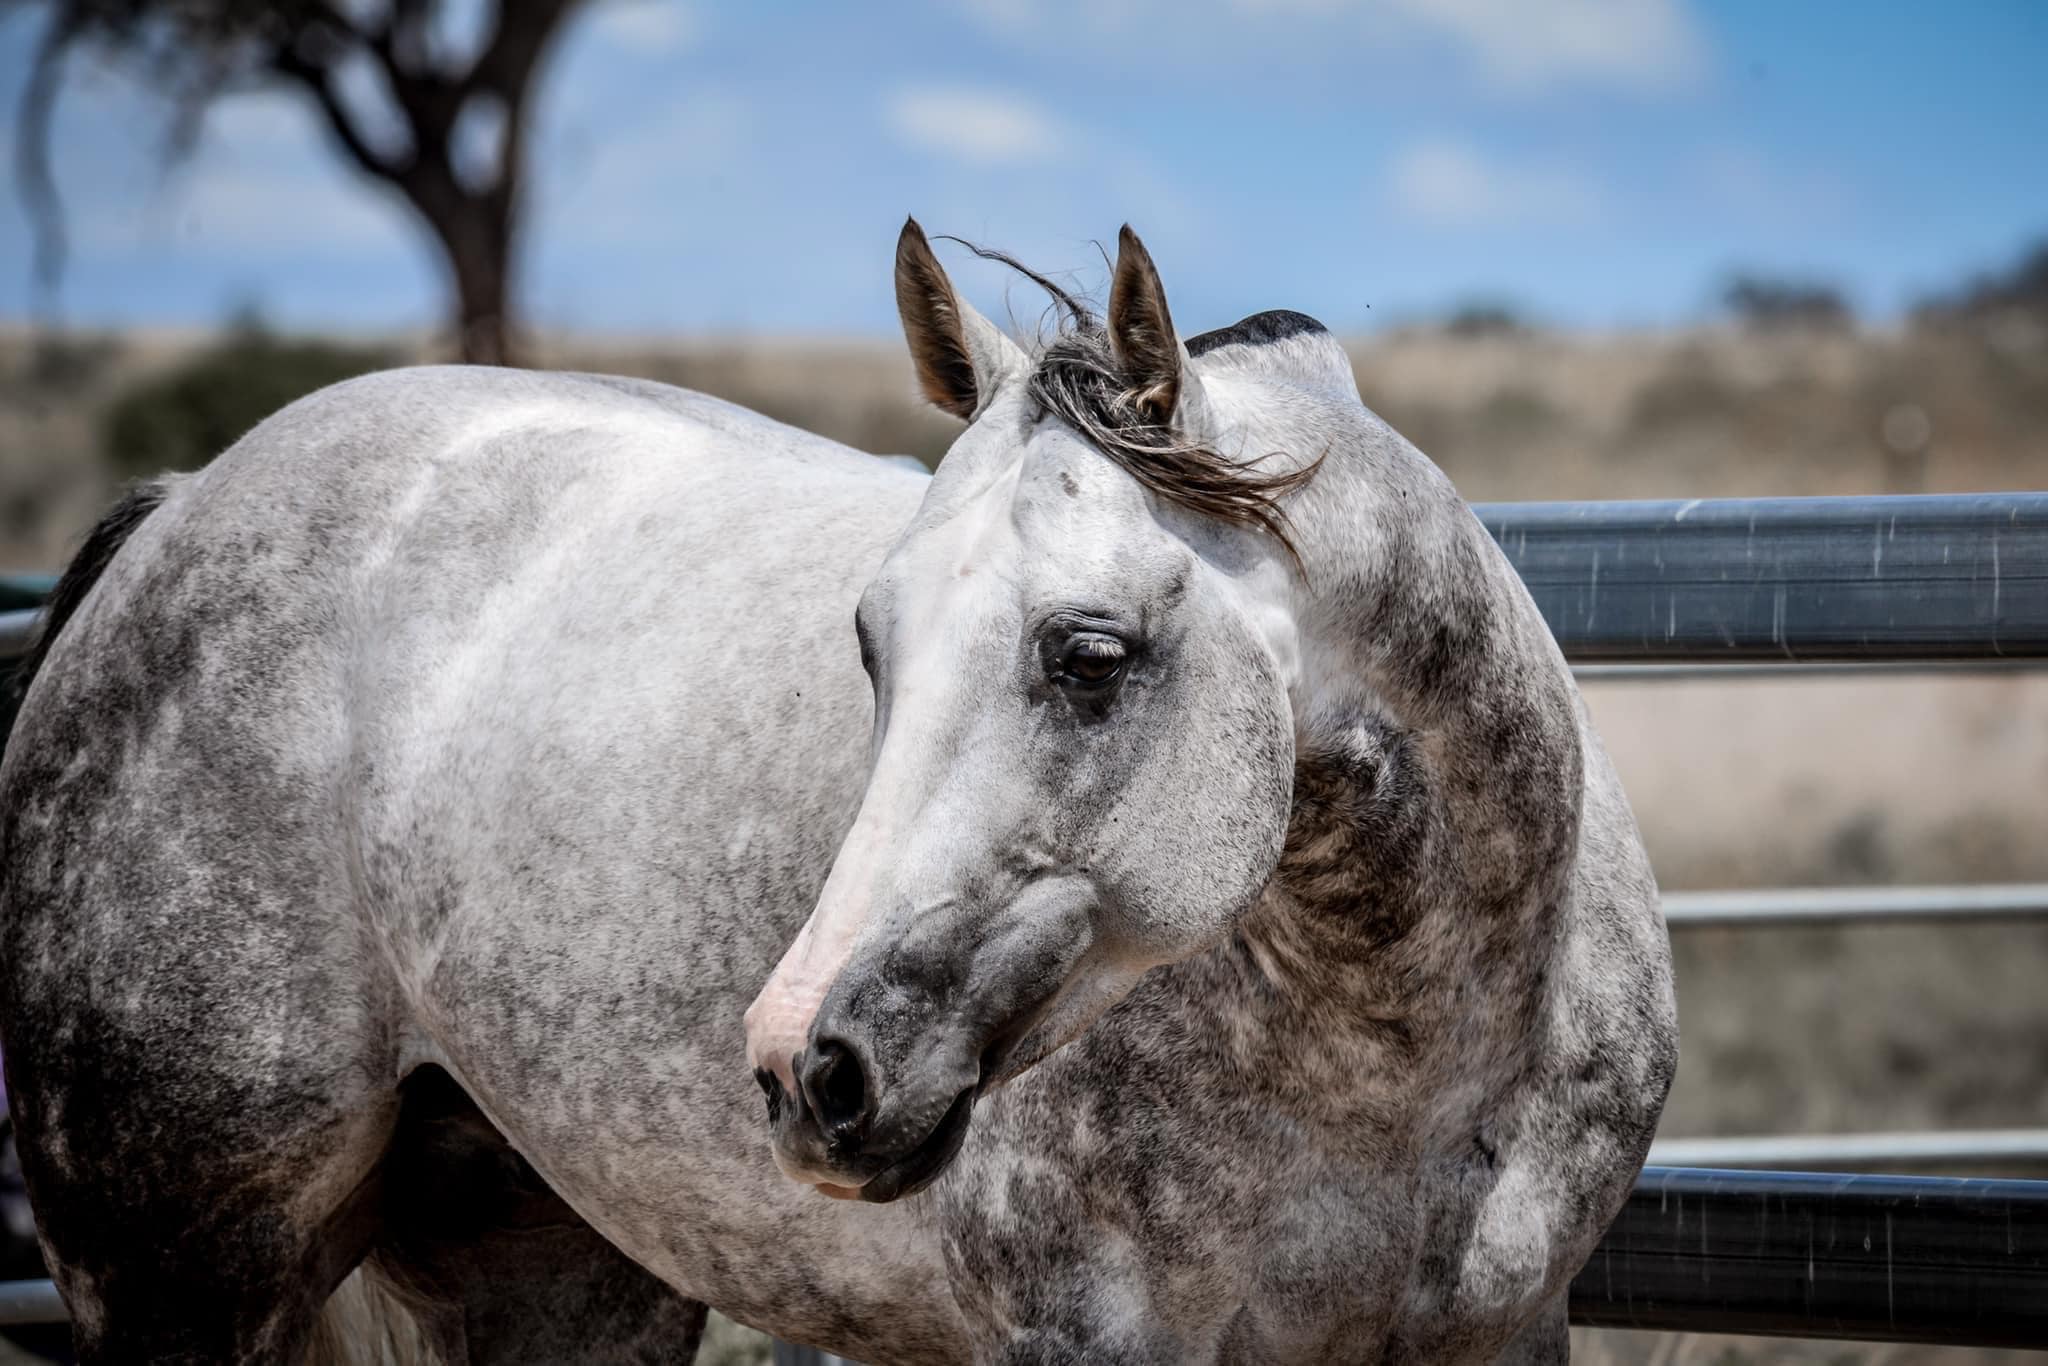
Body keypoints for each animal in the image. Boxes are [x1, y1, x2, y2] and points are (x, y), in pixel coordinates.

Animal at [0, 221, 1676, 1364]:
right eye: (872, 639)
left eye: (1089, 654)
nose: (814, 1068)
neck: (1408, 1056)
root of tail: (179, 510)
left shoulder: (1510, 1330)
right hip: (176, 1272)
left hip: (550, 1262)